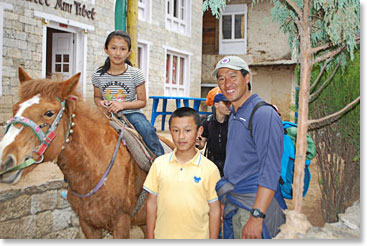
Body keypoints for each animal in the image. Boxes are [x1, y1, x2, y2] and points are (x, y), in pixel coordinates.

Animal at [0, 67, 170, 238]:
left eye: (49, 113)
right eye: (15, 108)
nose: (5, 160)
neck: (92, 171)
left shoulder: (121, 224)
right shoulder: (87, 224)